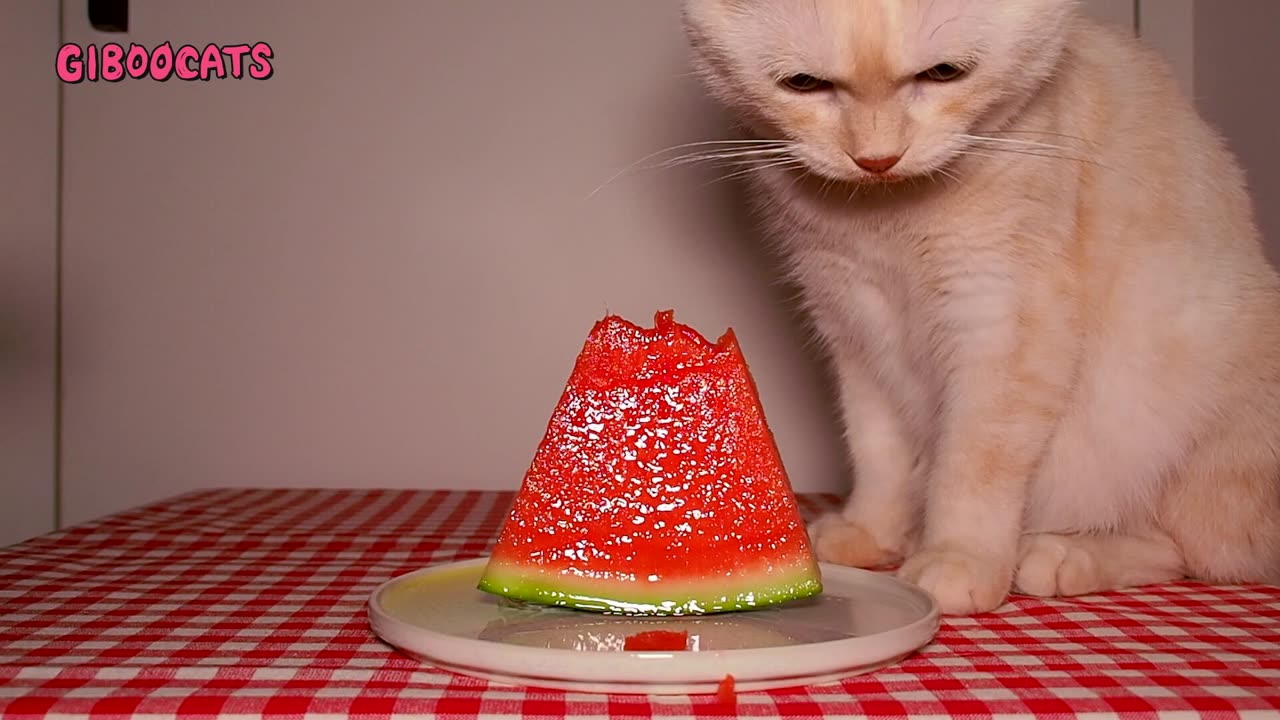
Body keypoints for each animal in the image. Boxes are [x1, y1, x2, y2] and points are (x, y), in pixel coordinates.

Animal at [680, 0, 1280, 609]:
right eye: (804, 84)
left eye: (945, 74)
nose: (877, 158)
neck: (886, 220)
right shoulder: (854, 323)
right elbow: (877, 450)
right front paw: (872, 531)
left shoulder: (998, 321)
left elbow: (972, 465)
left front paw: (957, 559)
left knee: (1189, 549)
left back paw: (1056, 555)